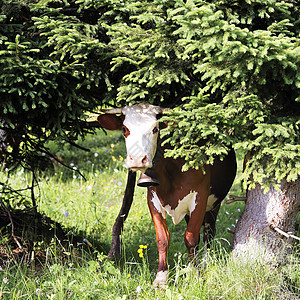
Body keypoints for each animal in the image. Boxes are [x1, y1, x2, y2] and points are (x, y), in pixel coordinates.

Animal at [98, 103, 237, 286]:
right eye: (124, 129)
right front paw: (161, 278)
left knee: (209, 231)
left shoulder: (199, 197)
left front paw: (194, 274)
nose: (137, 159)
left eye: (155, 129)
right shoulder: (153, 200)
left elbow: (191, 238)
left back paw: (204, 262)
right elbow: (163, 239)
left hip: (214, 202)